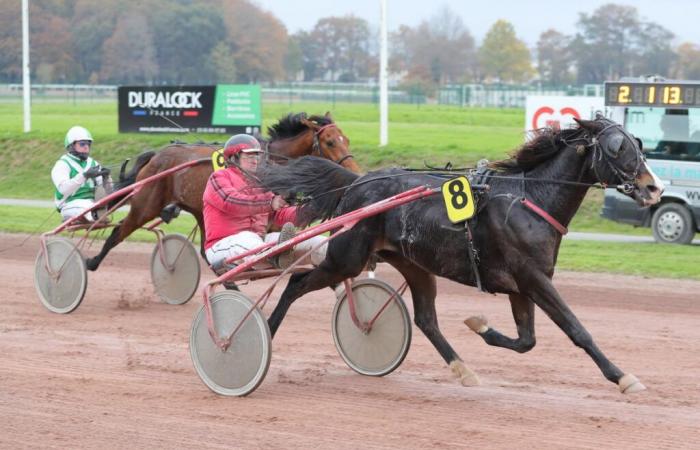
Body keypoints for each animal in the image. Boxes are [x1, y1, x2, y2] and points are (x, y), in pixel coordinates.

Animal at [86, 112, 360, 270]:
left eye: (346, 138)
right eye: (329, 141)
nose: (356, 172)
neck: (272, 162)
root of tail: (157, 156)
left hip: (197, 210)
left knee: (205, 252)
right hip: (146, 204)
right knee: (117, 233)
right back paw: (90, 263)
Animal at [262, 117, 660, 394]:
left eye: (636, 143)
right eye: (616, 147)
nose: (653, 187)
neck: (531, 199)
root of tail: (357, 182)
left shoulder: (522, 285)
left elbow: (526, 341)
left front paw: (480, 325)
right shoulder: (534, 279)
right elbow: (577, 330)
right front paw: (623, 377)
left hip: (414, 265)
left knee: (425, 319)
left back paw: (463, 369)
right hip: (346, 257)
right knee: (295, 284)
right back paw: (265, 331)